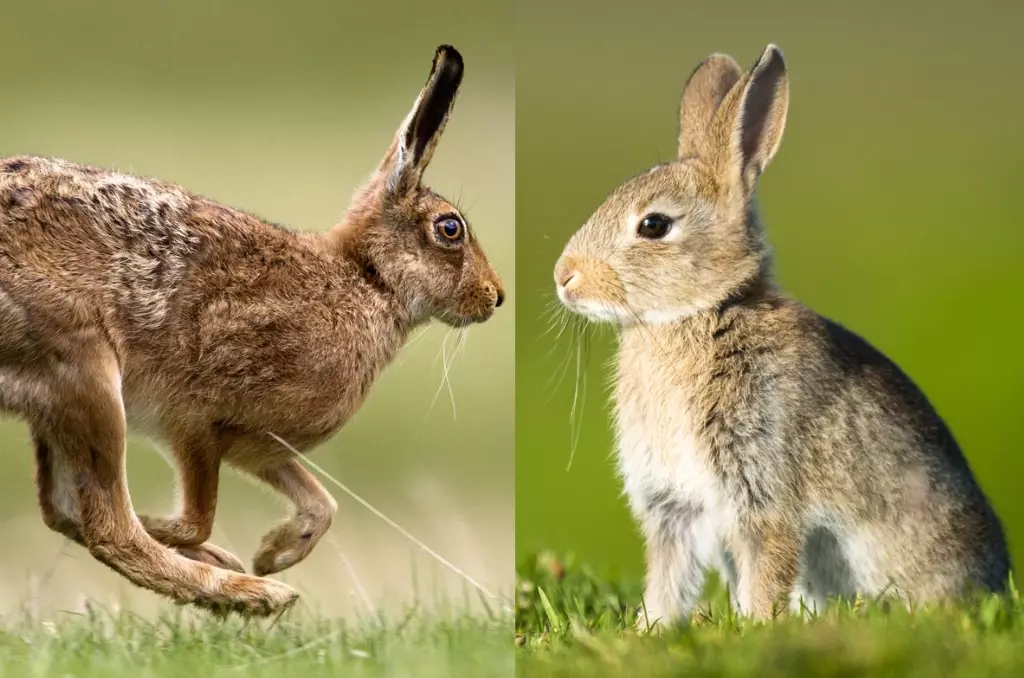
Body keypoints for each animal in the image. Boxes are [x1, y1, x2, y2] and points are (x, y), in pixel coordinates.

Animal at [0, 44, 503, 616]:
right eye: (450, 228)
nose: (495, 296)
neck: (368, 279)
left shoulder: (259, 446)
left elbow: (322, 503)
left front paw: (272, 552)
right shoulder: (197, 420)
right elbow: (193, 519)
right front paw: (248, 560)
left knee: (62, 507)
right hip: (87, 374)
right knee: (107, 528)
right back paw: (255, 593)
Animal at [553, 44, 1008, 624]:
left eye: (654, 225)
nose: (564, 277)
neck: (702, 312)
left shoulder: (762, 484)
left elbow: (766, 565)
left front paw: (756, 626)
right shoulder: (674, 505)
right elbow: (669, 579)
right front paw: (651, 629)